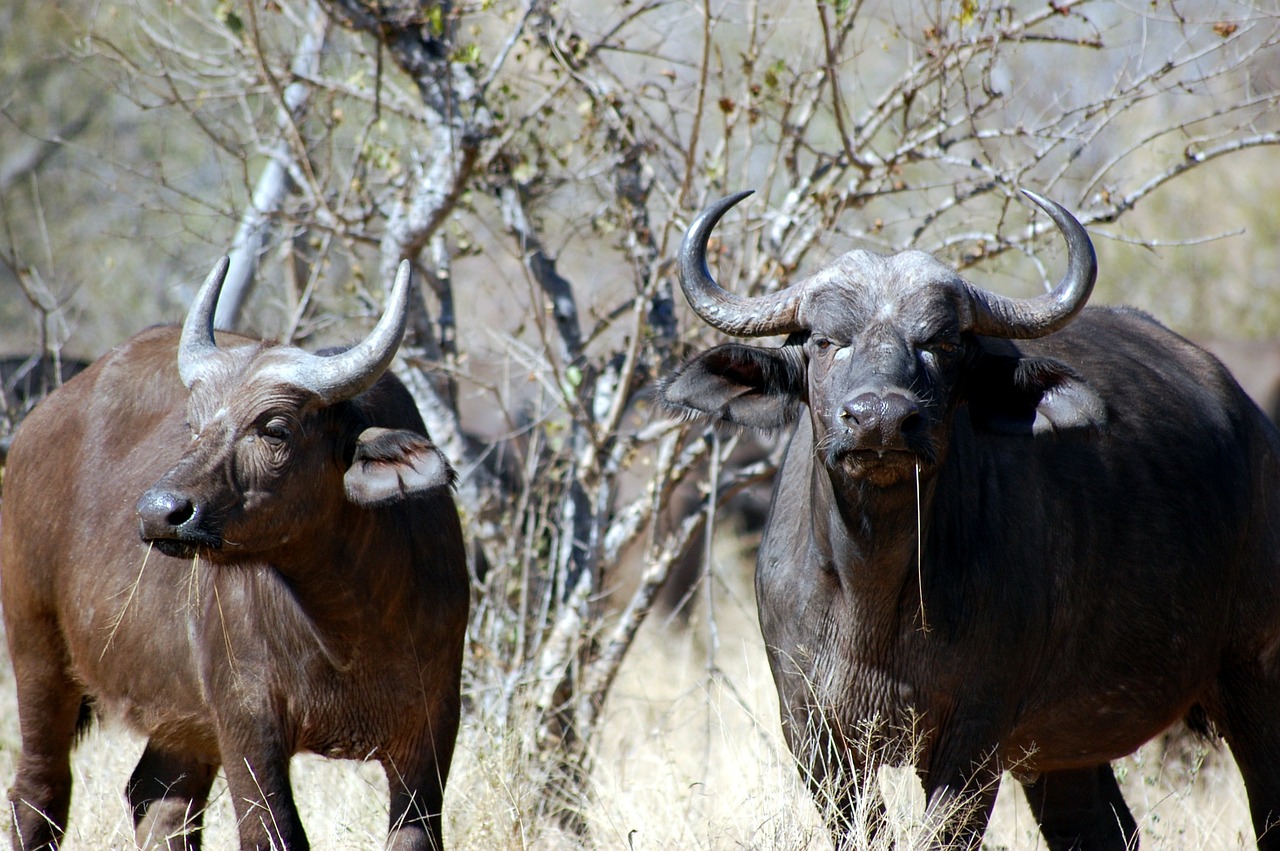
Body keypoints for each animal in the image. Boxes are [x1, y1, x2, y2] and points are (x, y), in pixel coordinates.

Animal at [0, 258, 471, 849]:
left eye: (274, 428)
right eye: (193, 426)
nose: (159, 511)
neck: (351, 626)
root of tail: (33, 428)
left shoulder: (431, 728)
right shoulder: (247, 722)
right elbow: (274, 833)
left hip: (178, 719)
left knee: (159, 799)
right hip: (37, 652)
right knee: (39, 790)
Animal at [665, 191, 1280, 849]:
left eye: (942, 344)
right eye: (826, 341)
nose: (881, 419)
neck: (872, 589)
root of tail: (1252, 424)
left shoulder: (973, 740)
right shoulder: (815, 738)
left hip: (1255, 677)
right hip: (1062, 754)